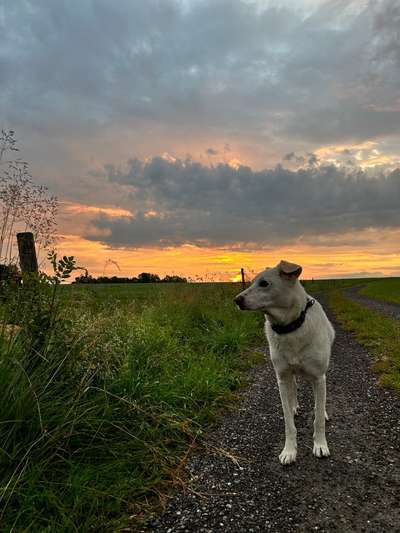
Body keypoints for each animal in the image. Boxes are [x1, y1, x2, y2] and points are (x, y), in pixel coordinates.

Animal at [234, 260, 334, 464]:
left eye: (264, 283)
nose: (237, 300)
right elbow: (288, 421)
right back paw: (295, 405)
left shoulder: (319, 377)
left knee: (319, 402)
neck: (290, 327)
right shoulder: (281, 378)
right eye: (252, 282)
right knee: (293, 387)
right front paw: (289, 450)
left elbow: (318, 417)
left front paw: (320, 445)